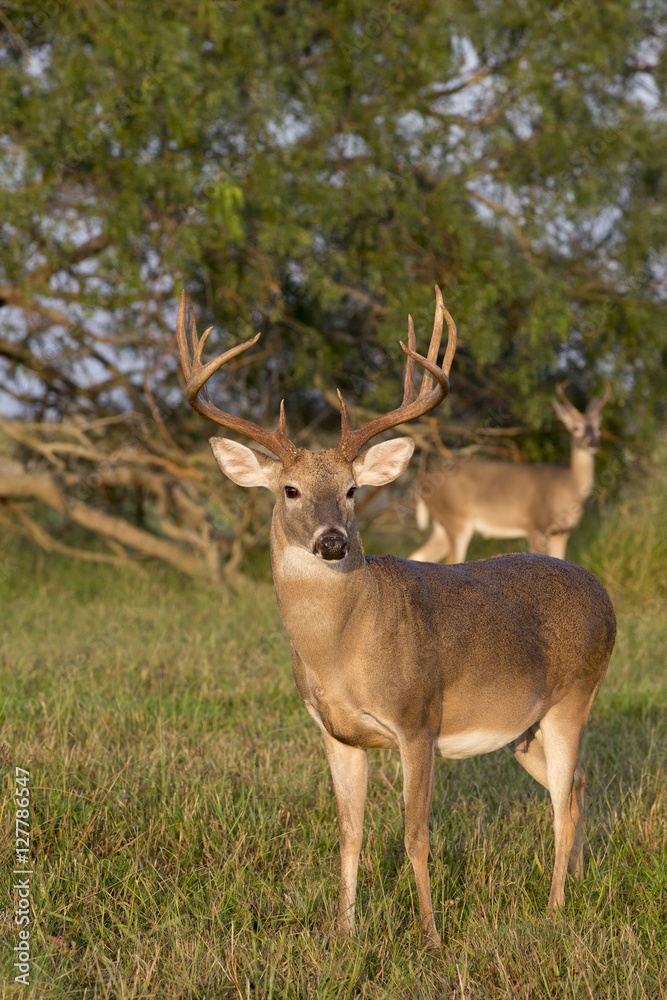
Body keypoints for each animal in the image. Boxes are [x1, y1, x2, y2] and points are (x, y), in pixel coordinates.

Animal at [412, 382, 616, 568]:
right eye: (575, 428)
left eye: (598, 427)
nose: (592, 443)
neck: (567, 486)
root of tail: (422, 481)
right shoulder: (536, 525)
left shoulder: (563, 533)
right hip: (457, 518)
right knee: (451, 560)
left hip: (441, 524)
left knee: (419, 555)